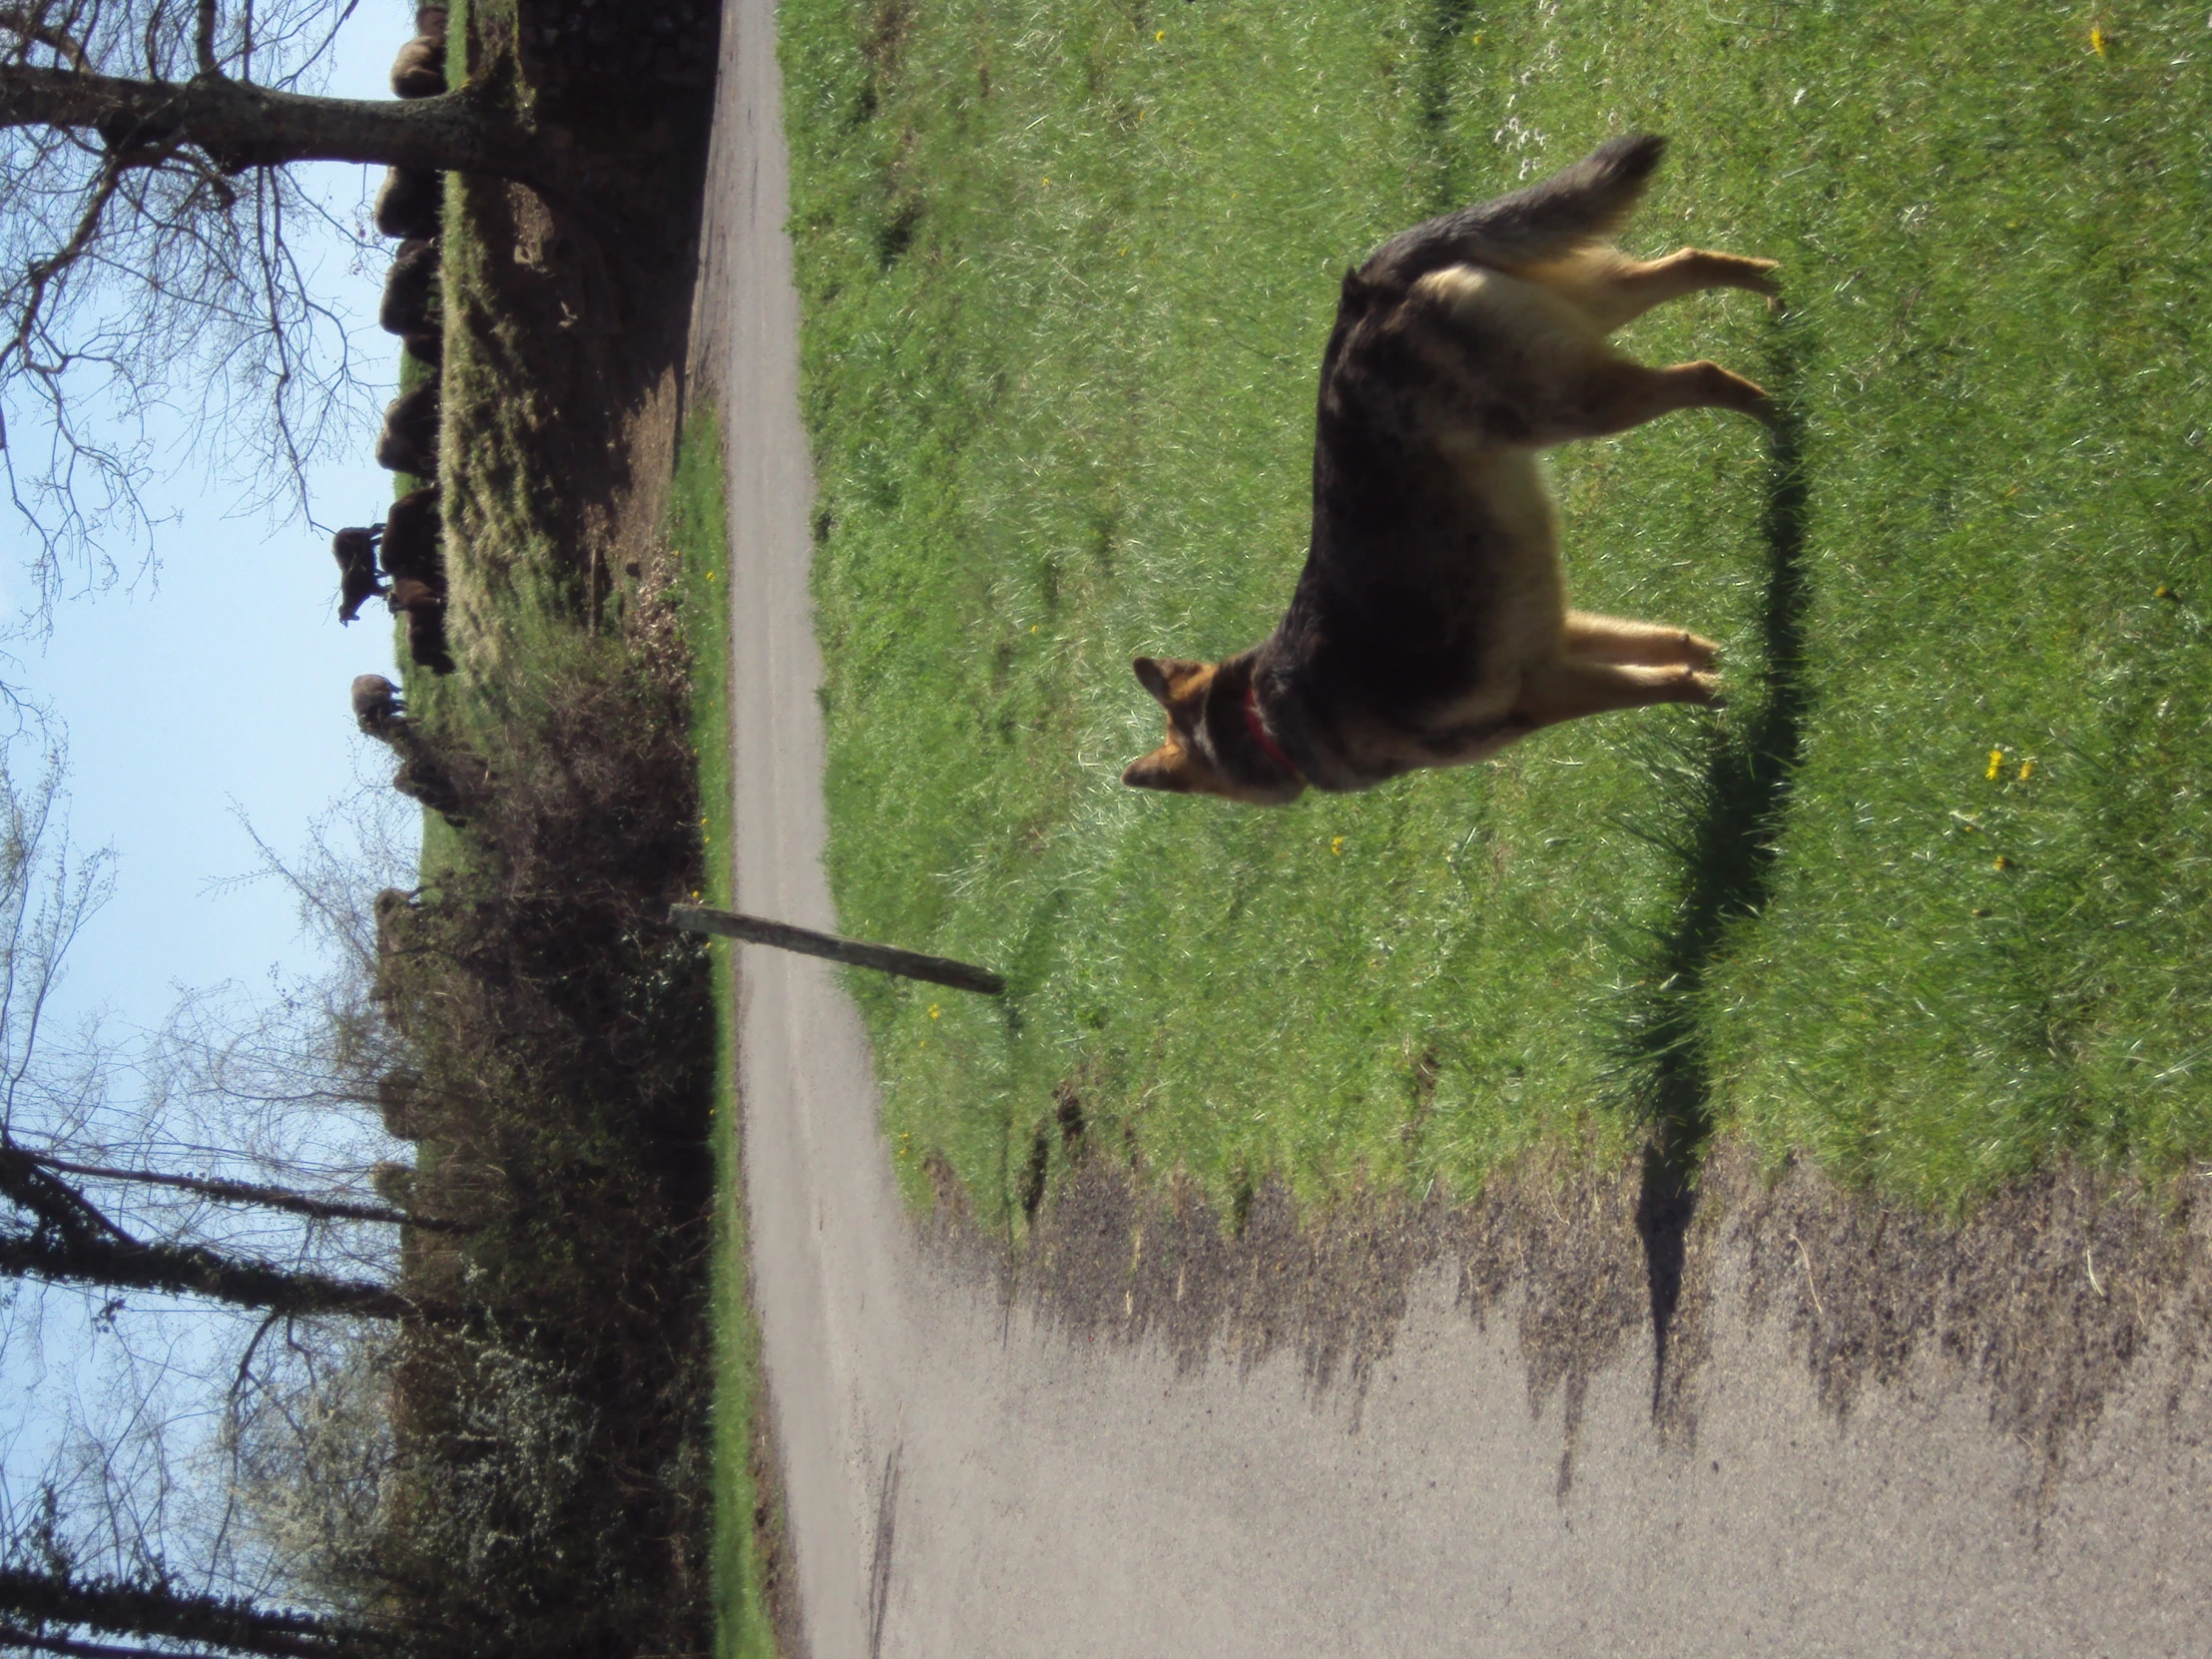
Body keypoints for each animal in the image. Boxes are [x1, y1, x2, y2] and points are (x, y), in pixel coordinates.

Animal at [1123, 136, 1778, 805]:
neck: (1265, 716)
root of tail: (1361, 290)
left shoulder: (1545, 691)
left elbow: (1672, 684)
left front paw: (1731, 692)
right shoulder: (1565, 638)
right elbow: (1677, 648)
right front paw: (1736, 661)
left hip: (1580, 404)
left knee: (1704, 375)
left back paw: (1781, 418)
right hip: (1598, 315)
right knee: (1691, 264)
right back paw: (1776, 291)